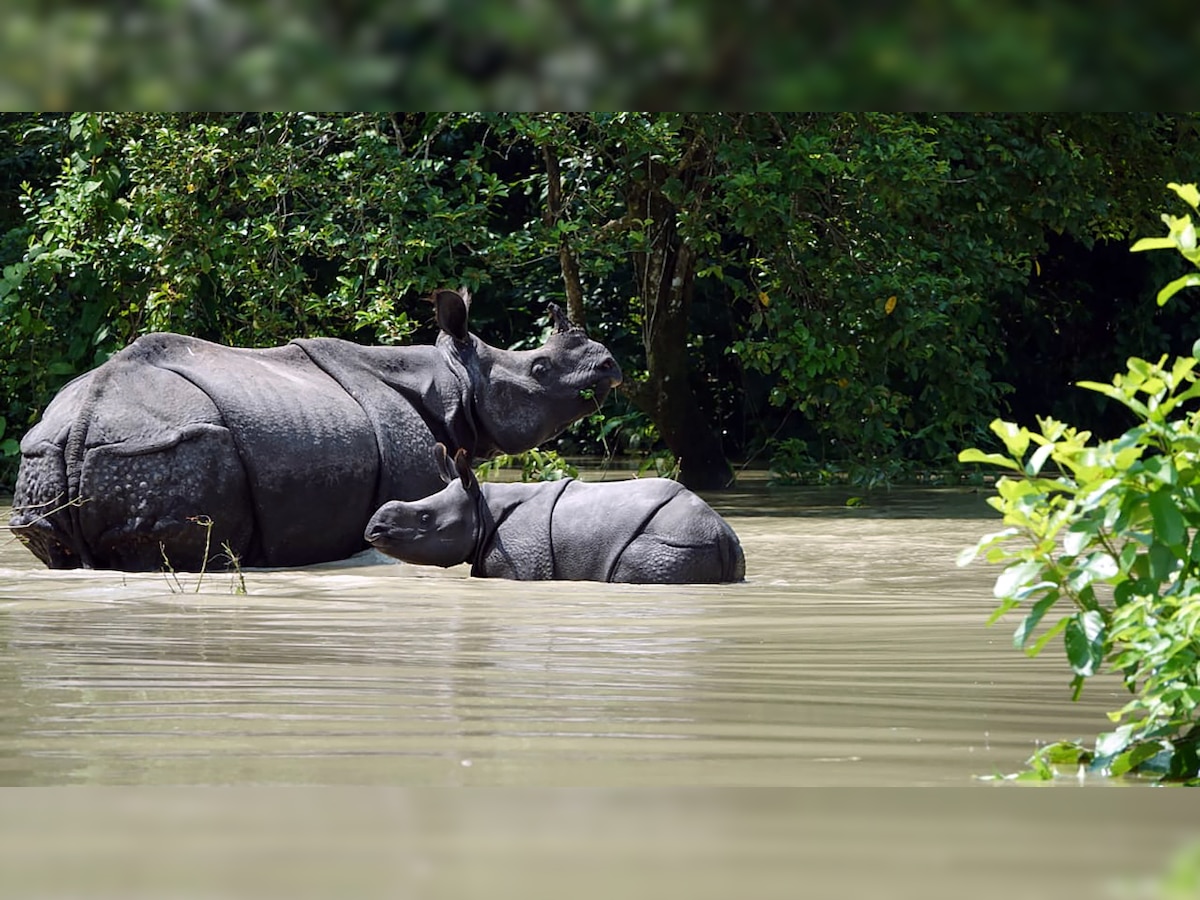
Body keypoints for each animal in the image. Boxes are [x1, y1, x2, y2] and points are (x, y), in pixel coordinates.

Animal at [11, 289, 619, 571]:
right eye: (540, 369)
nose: (609, 365)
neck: (452, 379)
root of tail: (83, 417)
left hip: (52, 452)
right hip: (165, 447)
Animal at [360, 444, 744, 585]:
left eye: (425, 519)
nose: (373, 529)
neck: (483, 506)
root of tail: (720, 532)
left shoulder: (520, 563)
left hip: (675, 542)